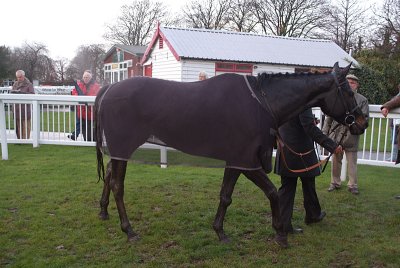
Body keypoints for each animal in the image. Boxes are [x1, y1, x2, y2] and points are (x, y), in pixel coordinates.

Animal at [93, 62, 366, 247]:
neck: (262, 102)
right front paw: (280, 233)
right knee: (117, 185)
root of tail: (109, 88)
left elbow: (226, 196)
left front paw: (220, 231)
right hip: (123, 149)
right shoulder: (246, 162)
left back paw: (104, 212)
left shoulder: (236, 162)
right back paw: (128, 230)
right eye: (348, 92)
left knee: (108, 176)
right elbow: (272, 193)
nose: (362, 123)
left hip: (120, 151)